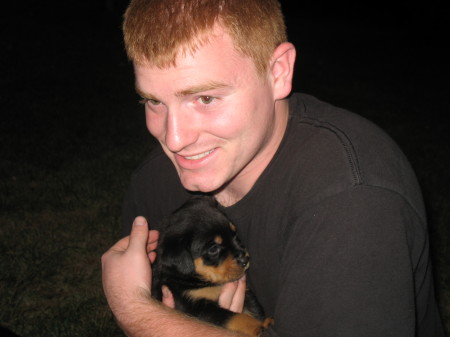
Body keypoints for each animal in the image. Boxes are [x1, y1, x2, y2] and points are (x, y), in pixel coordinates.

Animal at [151, 194, 272, 336]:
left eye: (235, 234)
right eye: (213, 249)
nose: (245, 259)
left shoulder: (246, 292)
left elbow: (254, 310)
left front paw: (266, 322)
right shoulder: (195, 306)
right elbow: (234, 317)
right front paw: (257, 327)